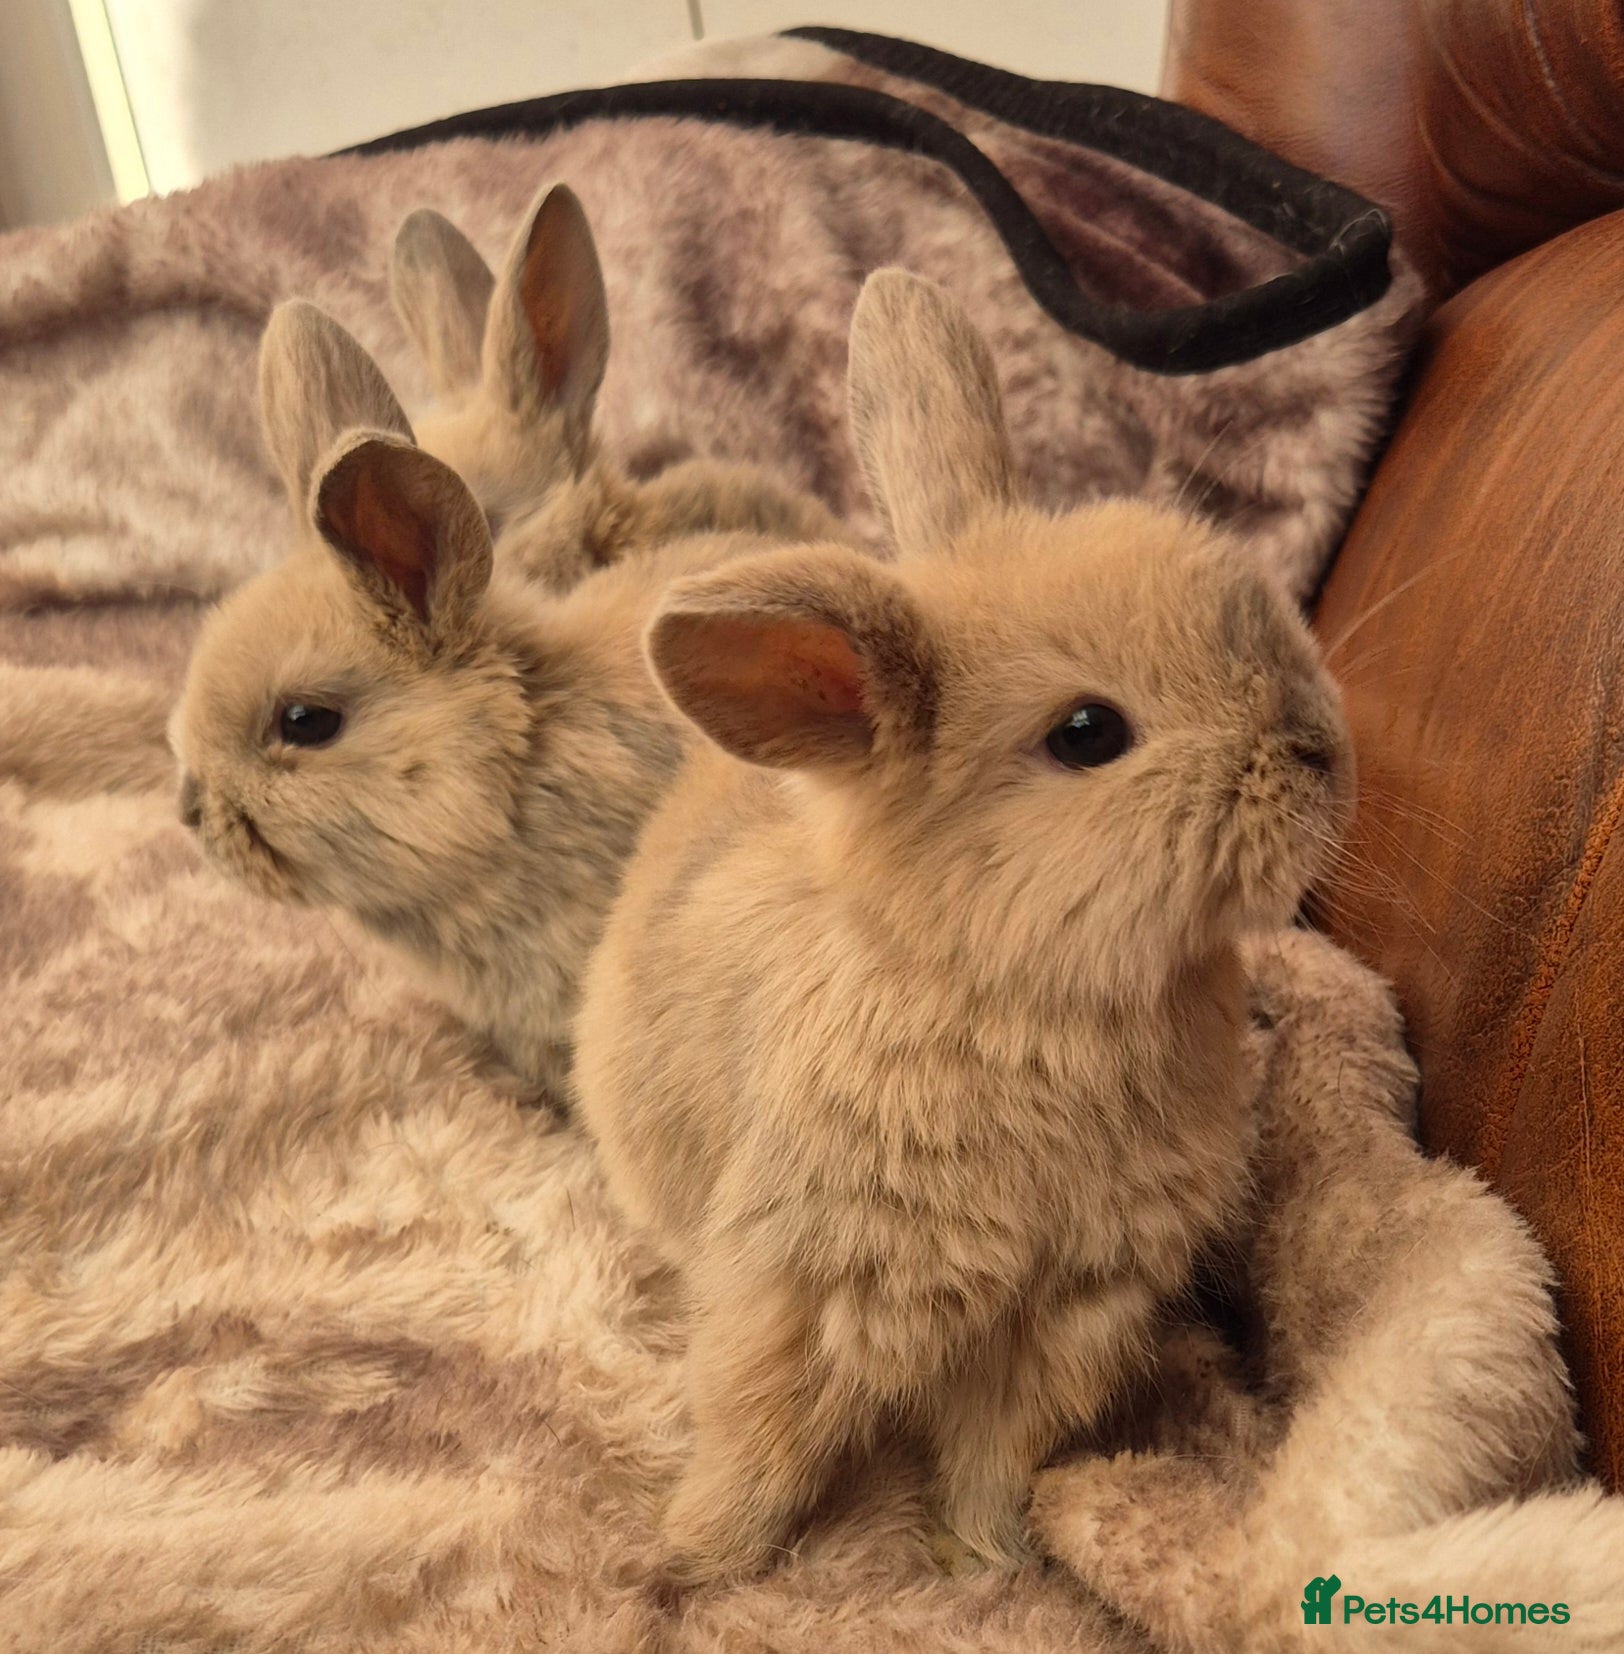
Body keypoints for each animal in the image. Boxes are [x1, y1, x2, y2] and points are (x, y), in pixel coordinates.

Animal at [570, 269, 1356, 1586]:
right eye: (1088, 734)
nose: (1320, 753)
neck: (1012, 988)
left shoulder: (1064, 1313)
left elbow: (995, 1452)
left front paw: (988, 1557)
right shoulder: (803, 1288)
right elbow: (757, 1438)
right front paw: (696, 1562)